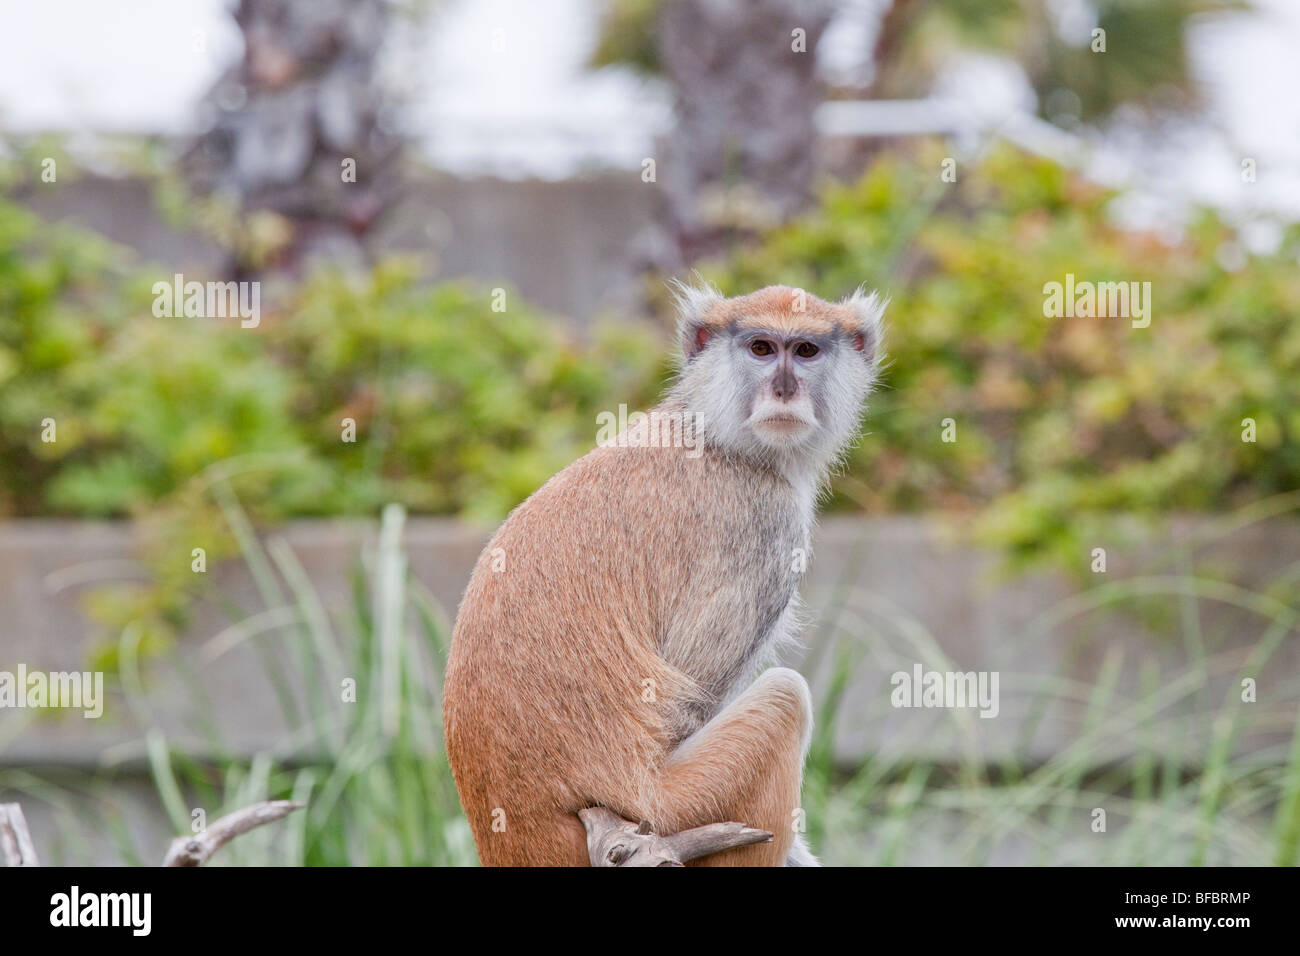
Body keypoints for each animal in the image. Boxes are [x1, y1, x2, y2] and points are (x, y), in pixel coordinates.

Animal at [443, 282, 885, 866]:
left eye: (807, 350)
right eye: (761, 348)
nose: (784, 389)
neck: (710, 429)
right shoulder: (766, 520)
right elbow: (687, 705)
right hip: (671, 805)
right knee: (784, 697)